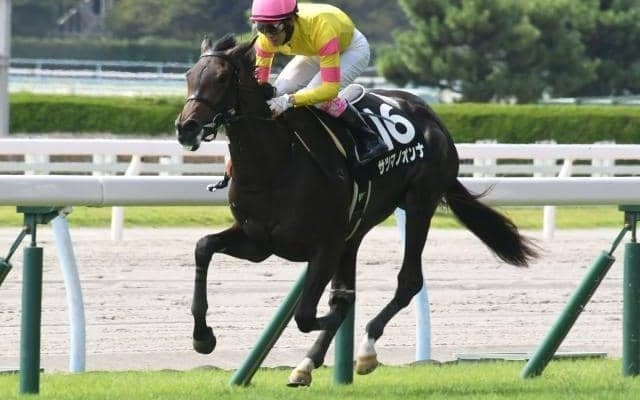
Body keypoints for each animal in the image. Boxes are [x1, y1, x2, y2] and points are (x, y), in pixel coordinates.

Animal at [175, 34, 538, 386]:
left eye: (222, 78)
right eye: (189, 76)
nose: (185, 127)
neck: (274, 163)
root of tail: (431, 116)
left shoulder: (326, 245)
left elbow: (311, 313)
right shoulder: (259, 241)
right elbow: (203, 247)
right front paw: (203, 337)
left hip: (420, 204)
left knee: (408, 281)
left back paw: (365, 349)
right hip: (357, 229)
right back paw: (306, 365)